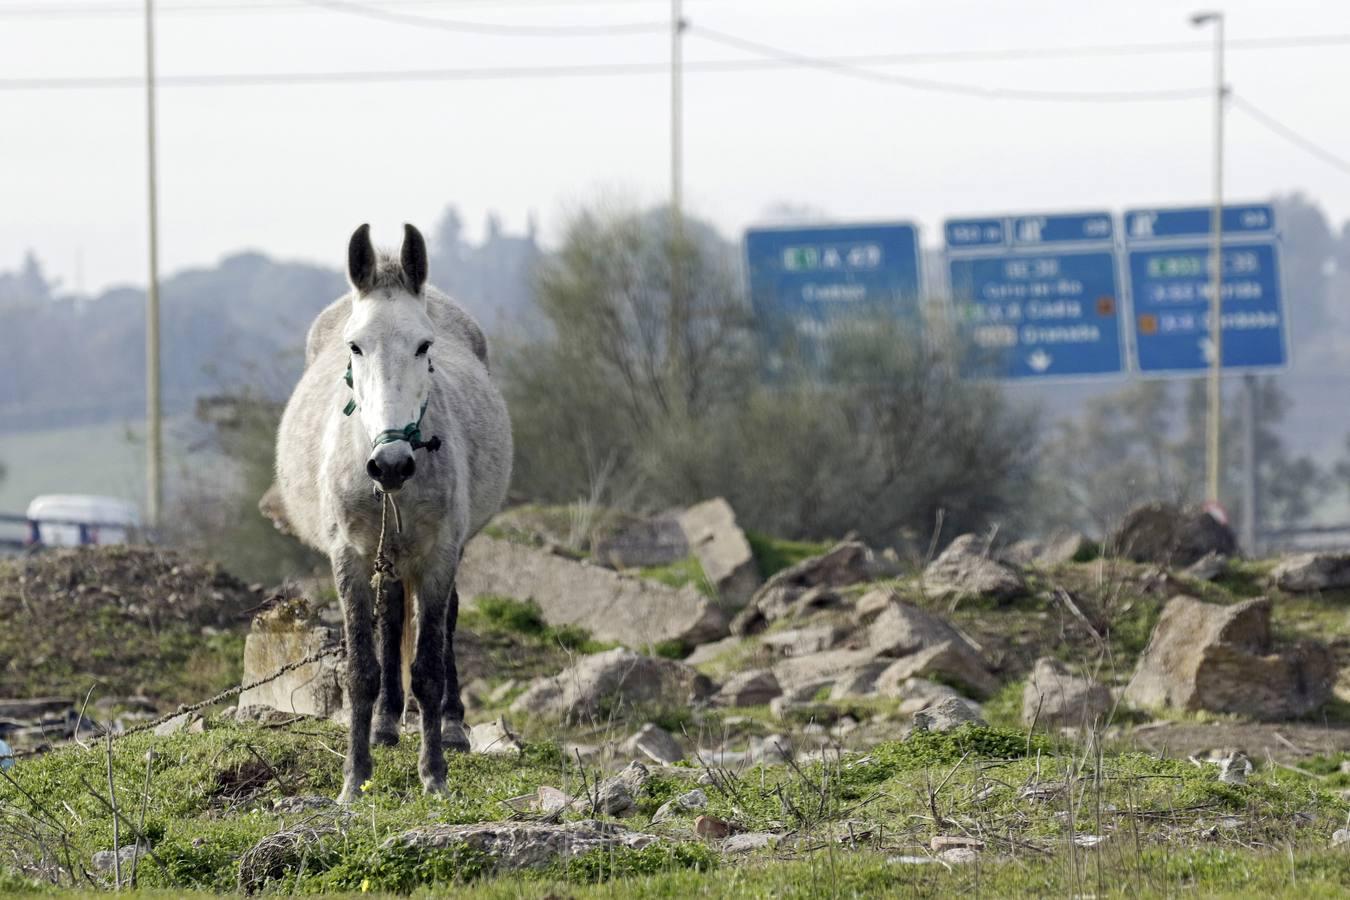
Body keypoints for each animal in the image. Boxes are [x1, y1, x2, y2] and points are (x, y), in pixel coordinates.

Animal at [274, 221, 510, 798]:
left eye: (424, 345)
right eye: (354, 346)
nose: (391, 464)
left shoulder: (440, 554)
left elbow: (427, 665)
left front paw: (434, 774)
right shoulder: (349, 558)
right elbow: (362, 666)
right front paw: (353, 779)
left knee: (443, 623)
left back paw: (451, 726)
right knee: (390, 617)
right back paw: (384, 724)